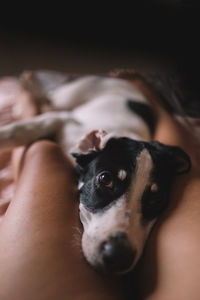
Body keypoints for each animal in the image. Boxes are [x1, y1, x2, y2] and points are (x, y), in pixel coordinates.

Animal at [0, 71, 191, 274]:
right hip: (72, 94)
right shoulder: (63, 120)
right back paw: (30, 86)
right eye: (106, 179)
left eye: (157, 199)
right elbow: (18, 130)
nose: (119, 257)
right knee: (50, 95)